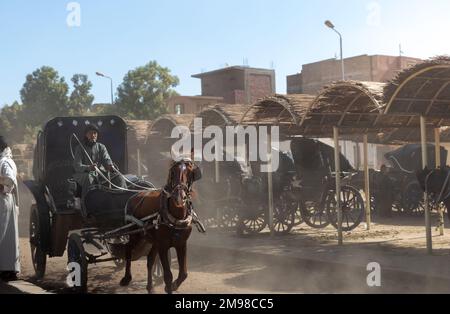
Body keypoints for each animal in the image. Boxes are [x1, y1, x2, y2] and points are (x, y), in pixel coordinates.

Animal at [119, 159, 195, 294]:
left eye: (189, 173)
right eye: (172, 172)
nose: (179, 197)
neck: (176, 217)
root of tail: (134, 196)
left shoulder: (181, 244)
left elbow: (183, 273)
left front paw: (174, 286)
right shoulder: (163, 246)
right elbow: (168, 275)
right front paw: (169, 286)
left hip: (153, 241)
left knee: (150, 261)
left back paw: (150, 287)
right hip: (135, 235)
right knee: (128, 251)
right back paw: (126, 278)